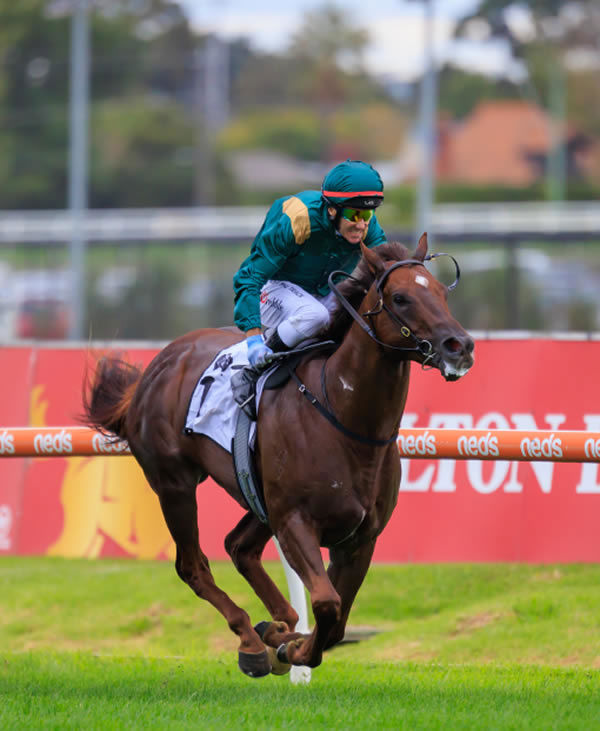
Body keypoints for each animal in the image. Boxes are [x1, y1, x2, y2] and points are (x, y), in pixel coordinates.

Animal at [82, 234, 474, 680]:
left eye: (442, 292)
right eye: (401, 297)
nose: (460, 346)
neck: (343, 416)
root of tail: (156, 368)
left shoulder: (361, 537)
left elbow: (337, 622)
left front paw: (289, 642)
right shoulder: (295, 522)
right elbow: (326, 603)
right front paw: (292, 648)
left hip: (259, 497)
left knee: (239, 547)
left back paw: (276, 626)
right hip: (174, 486)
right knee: (193, 566)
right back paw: (253, 641)